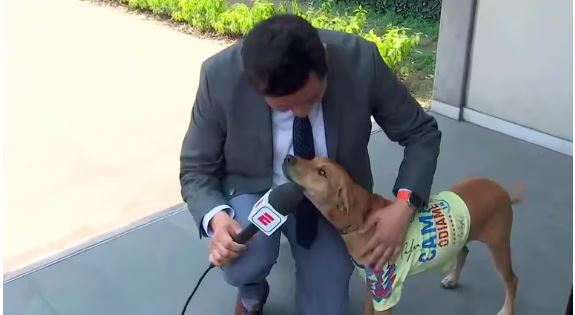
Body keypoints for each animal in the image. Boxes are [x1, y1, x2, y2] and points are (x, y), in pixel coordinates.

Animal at [284, 155, 520, 315]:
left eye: (322, 172)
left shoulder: (387, 295)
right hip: (465, 235)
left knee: (512, 280)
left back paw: (507, 309)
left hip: (499, 246)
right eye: (313, 158)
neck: (363, 217)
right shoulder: (372, 288)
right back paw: (453, 279)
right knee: (464, 251)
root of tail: (503, 191)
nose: (288, 157)